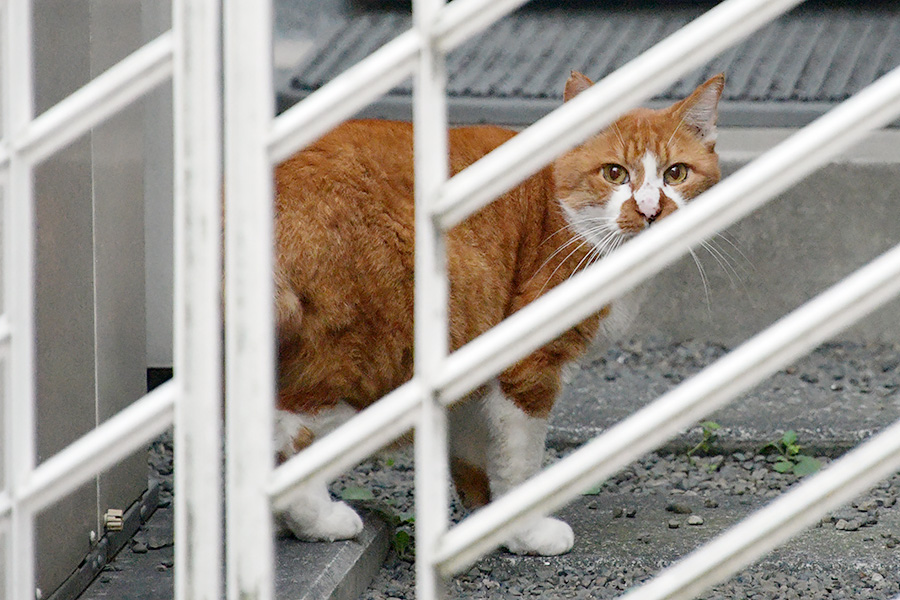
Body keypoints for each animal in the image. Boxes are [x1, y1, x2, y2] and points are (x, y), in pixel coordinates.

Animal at [274, 72, 724, 556]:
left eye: (675, 173)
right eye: (614, 173)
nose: (649, 210)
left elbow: (474, 452)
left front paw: (484, 521)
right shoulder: (528, 368)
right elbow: (519, 461)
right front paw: (526, 532)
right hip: (368, 356)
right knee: (289, 435)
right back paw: (319, 520)